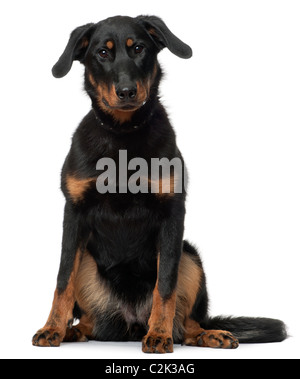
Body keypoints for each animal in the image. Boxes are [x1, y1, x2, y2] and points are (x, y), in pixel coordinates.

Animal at [31, 14, 288, 354]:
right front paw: (51, 328)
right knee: (89, 322)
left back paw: (205, 334)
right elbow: (63, 280)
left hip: (189, 256)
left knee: (188, 324)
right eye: (102, 53)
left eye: (139, 48)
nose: (127, 91)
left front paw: (159, 334)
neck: (123, 135)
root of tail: (130, 324)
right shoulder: (73, 213)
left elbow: (164, 285)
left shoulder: (171, 216)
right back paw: (72, 331)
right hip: (89, 262)